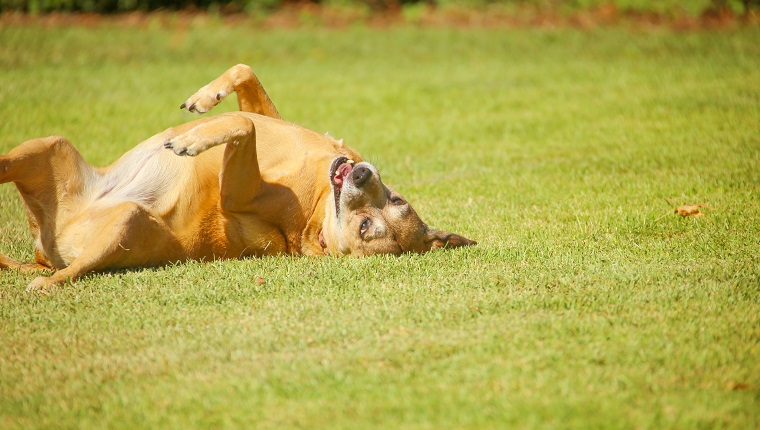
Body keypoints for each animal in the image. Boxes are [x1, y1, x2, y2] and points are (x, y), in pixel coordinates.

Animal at [0, 63, 476, 290]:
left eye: (365, 228)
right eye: (396, 200)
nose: (358, 171)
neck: (317, 205)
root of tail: (46, 250)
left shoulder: (238, 193)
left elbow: (242, 125)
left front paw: (191, 141)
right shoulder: (274, 119)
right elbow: (246, 80)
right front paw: (204, 99)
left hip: (125, 222)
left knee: (69, 271)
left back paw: (48, 282)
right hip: (48, 146)